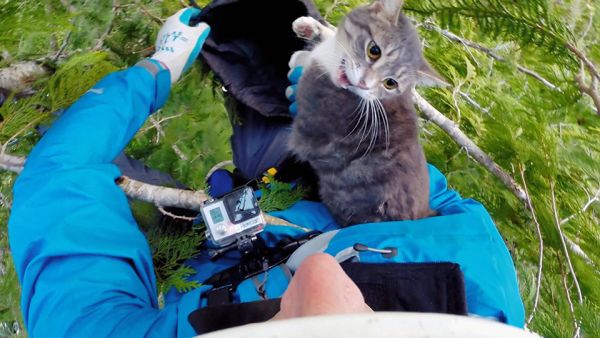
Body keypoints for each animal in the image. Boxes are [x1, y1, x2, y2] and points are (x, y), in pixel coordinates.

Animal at [290, 1, 446, 227]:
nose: (364, 84)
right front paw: (311, 27)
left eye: (390, 83)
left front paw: (302, 56)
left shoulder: (308, 128)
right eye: (374, 50)